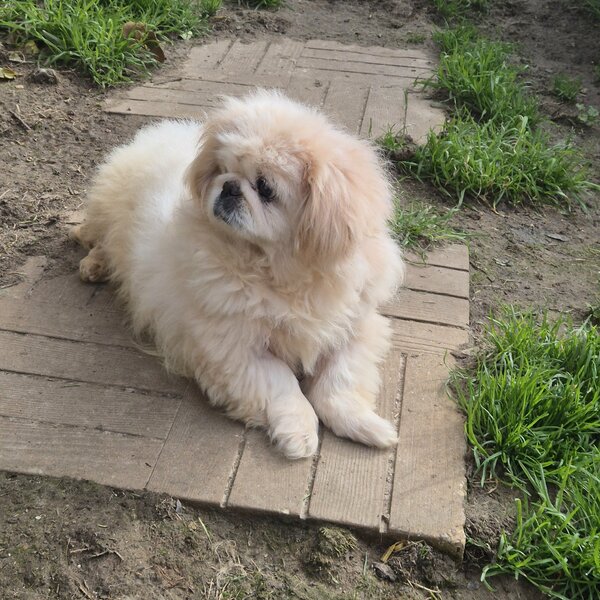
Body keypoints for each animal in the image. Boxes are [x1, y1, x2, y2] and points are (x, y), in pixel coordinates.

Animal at [70, 90, 404, 459]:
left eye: (265, 188)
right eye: (223, 170)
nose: (229, 186)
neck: (279, 272)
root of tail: (155, 135)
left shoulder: (356, 327)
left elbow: (339, 382)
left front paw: (367, 426)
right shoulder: (235, 348)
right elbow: (282, 383)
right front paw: (299, 432)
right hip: (106, 209)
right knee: (95, 237)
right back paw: (94, 265)